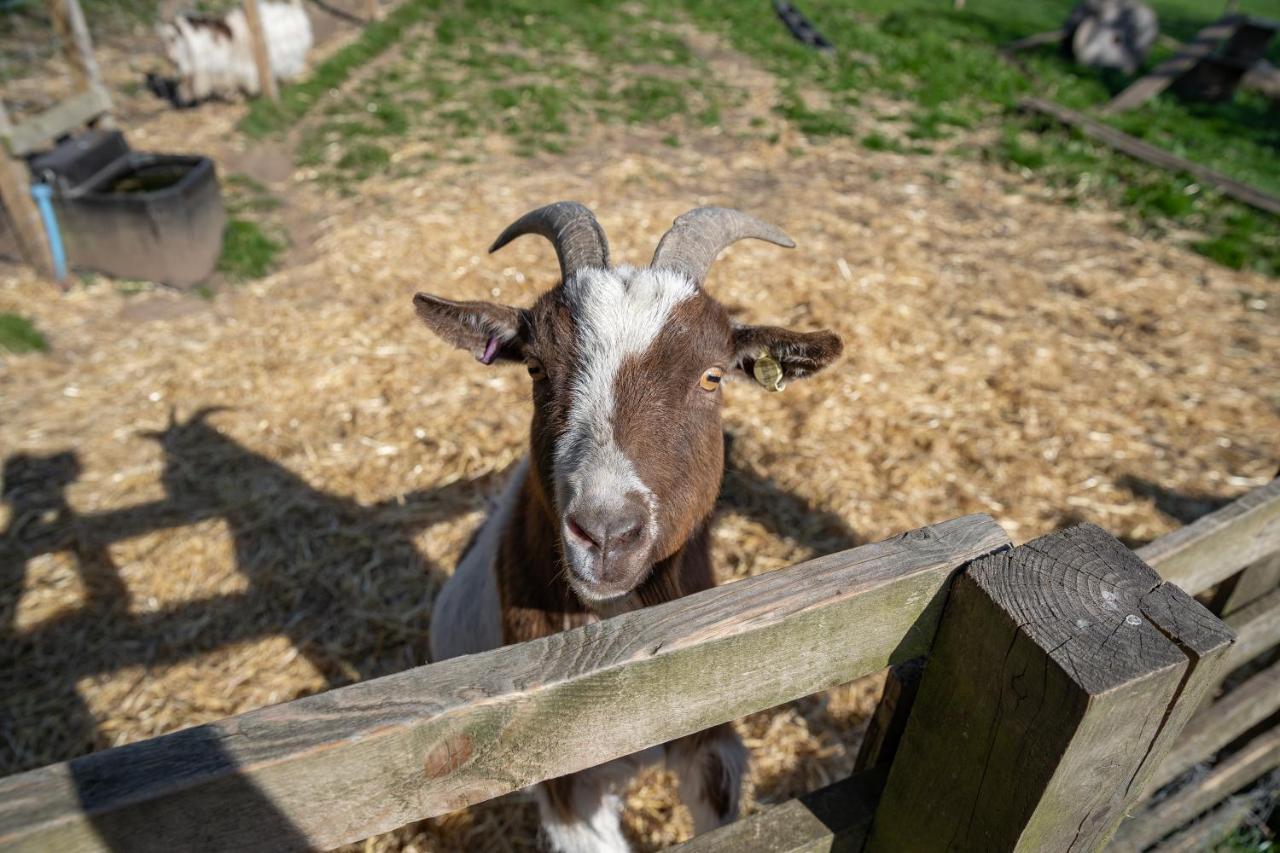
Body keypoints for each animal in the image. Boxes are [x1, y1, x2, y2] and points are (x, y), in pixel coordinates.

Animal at [155, 0, 314, 104]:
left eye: (173, 38)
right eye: (165, 41)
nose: (169, 57)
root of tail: (293, 11)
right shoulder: (222, 76)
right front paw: (234, 97)